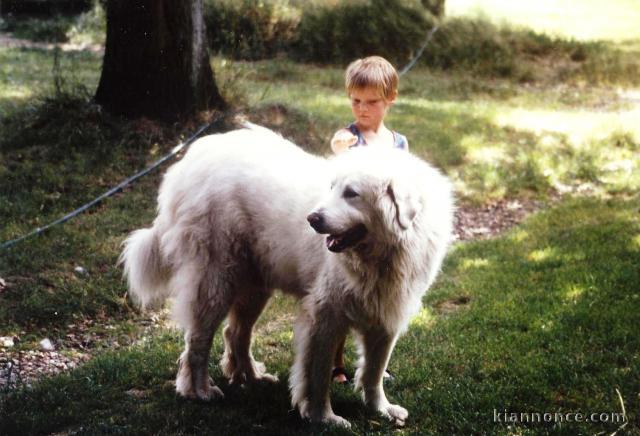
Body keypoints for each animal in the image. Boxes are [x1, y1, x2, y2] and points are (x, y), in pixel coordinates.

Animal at [121, 122, 456, 426]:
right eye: (332, 188)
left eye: (351, 193)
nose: (312, 218)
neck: (383, 254)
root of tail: (191, 159)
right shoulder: (324, 315)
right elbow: (317, 375)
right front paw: (323, 417)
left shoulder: (386, 315)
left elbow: (374, 371)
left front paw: (380, 409)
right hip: (215, 281)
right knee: (198, 340)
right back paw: (199, 390)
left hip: (254, 286)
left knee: (236, 333)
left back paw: (251, 376)